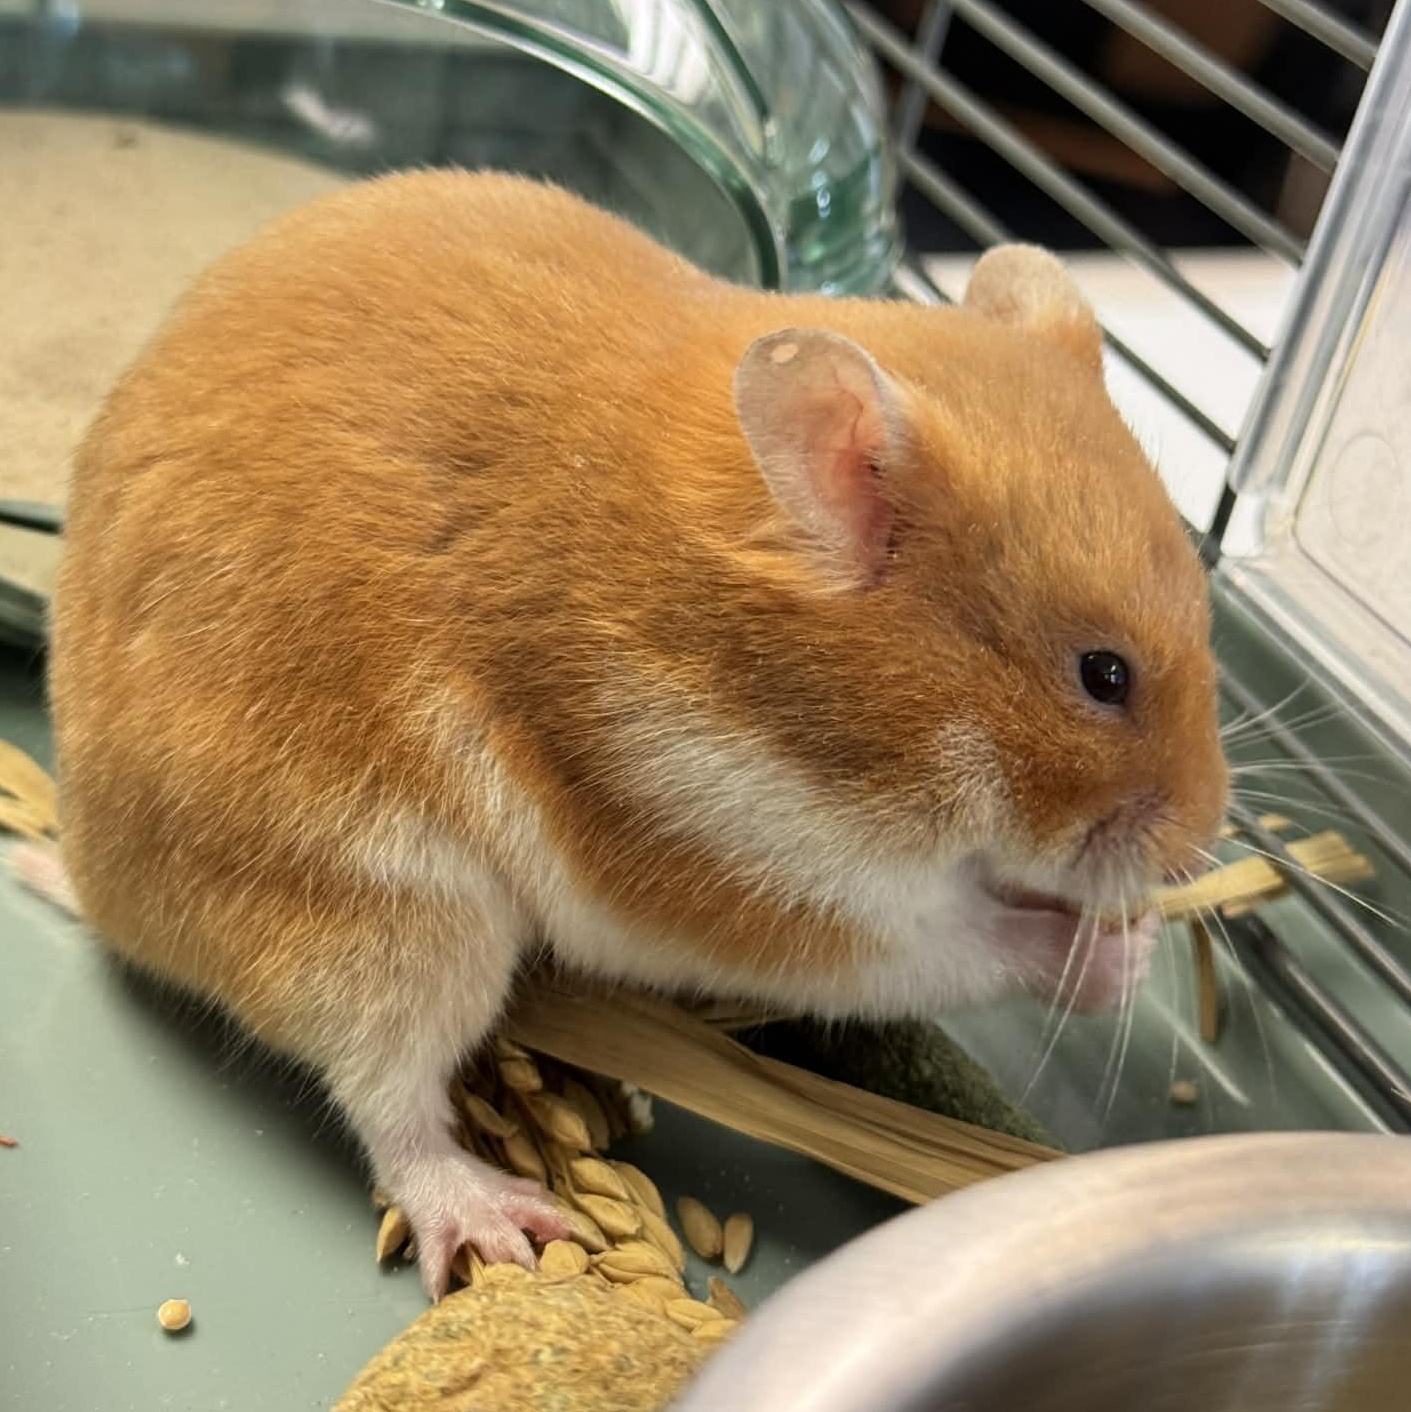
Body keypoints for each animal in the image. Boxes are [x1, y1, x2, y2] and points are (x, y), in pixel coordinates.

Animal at [37, 170, 1227, 1298]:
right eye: (1102, 675)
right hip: (387, 926)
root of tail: (101, 883)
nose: (1202, 841)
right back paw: (503, 1223)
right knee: (388, 1102)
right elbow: (956, 946)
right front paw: (1122, 953)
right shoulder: (750, 880)